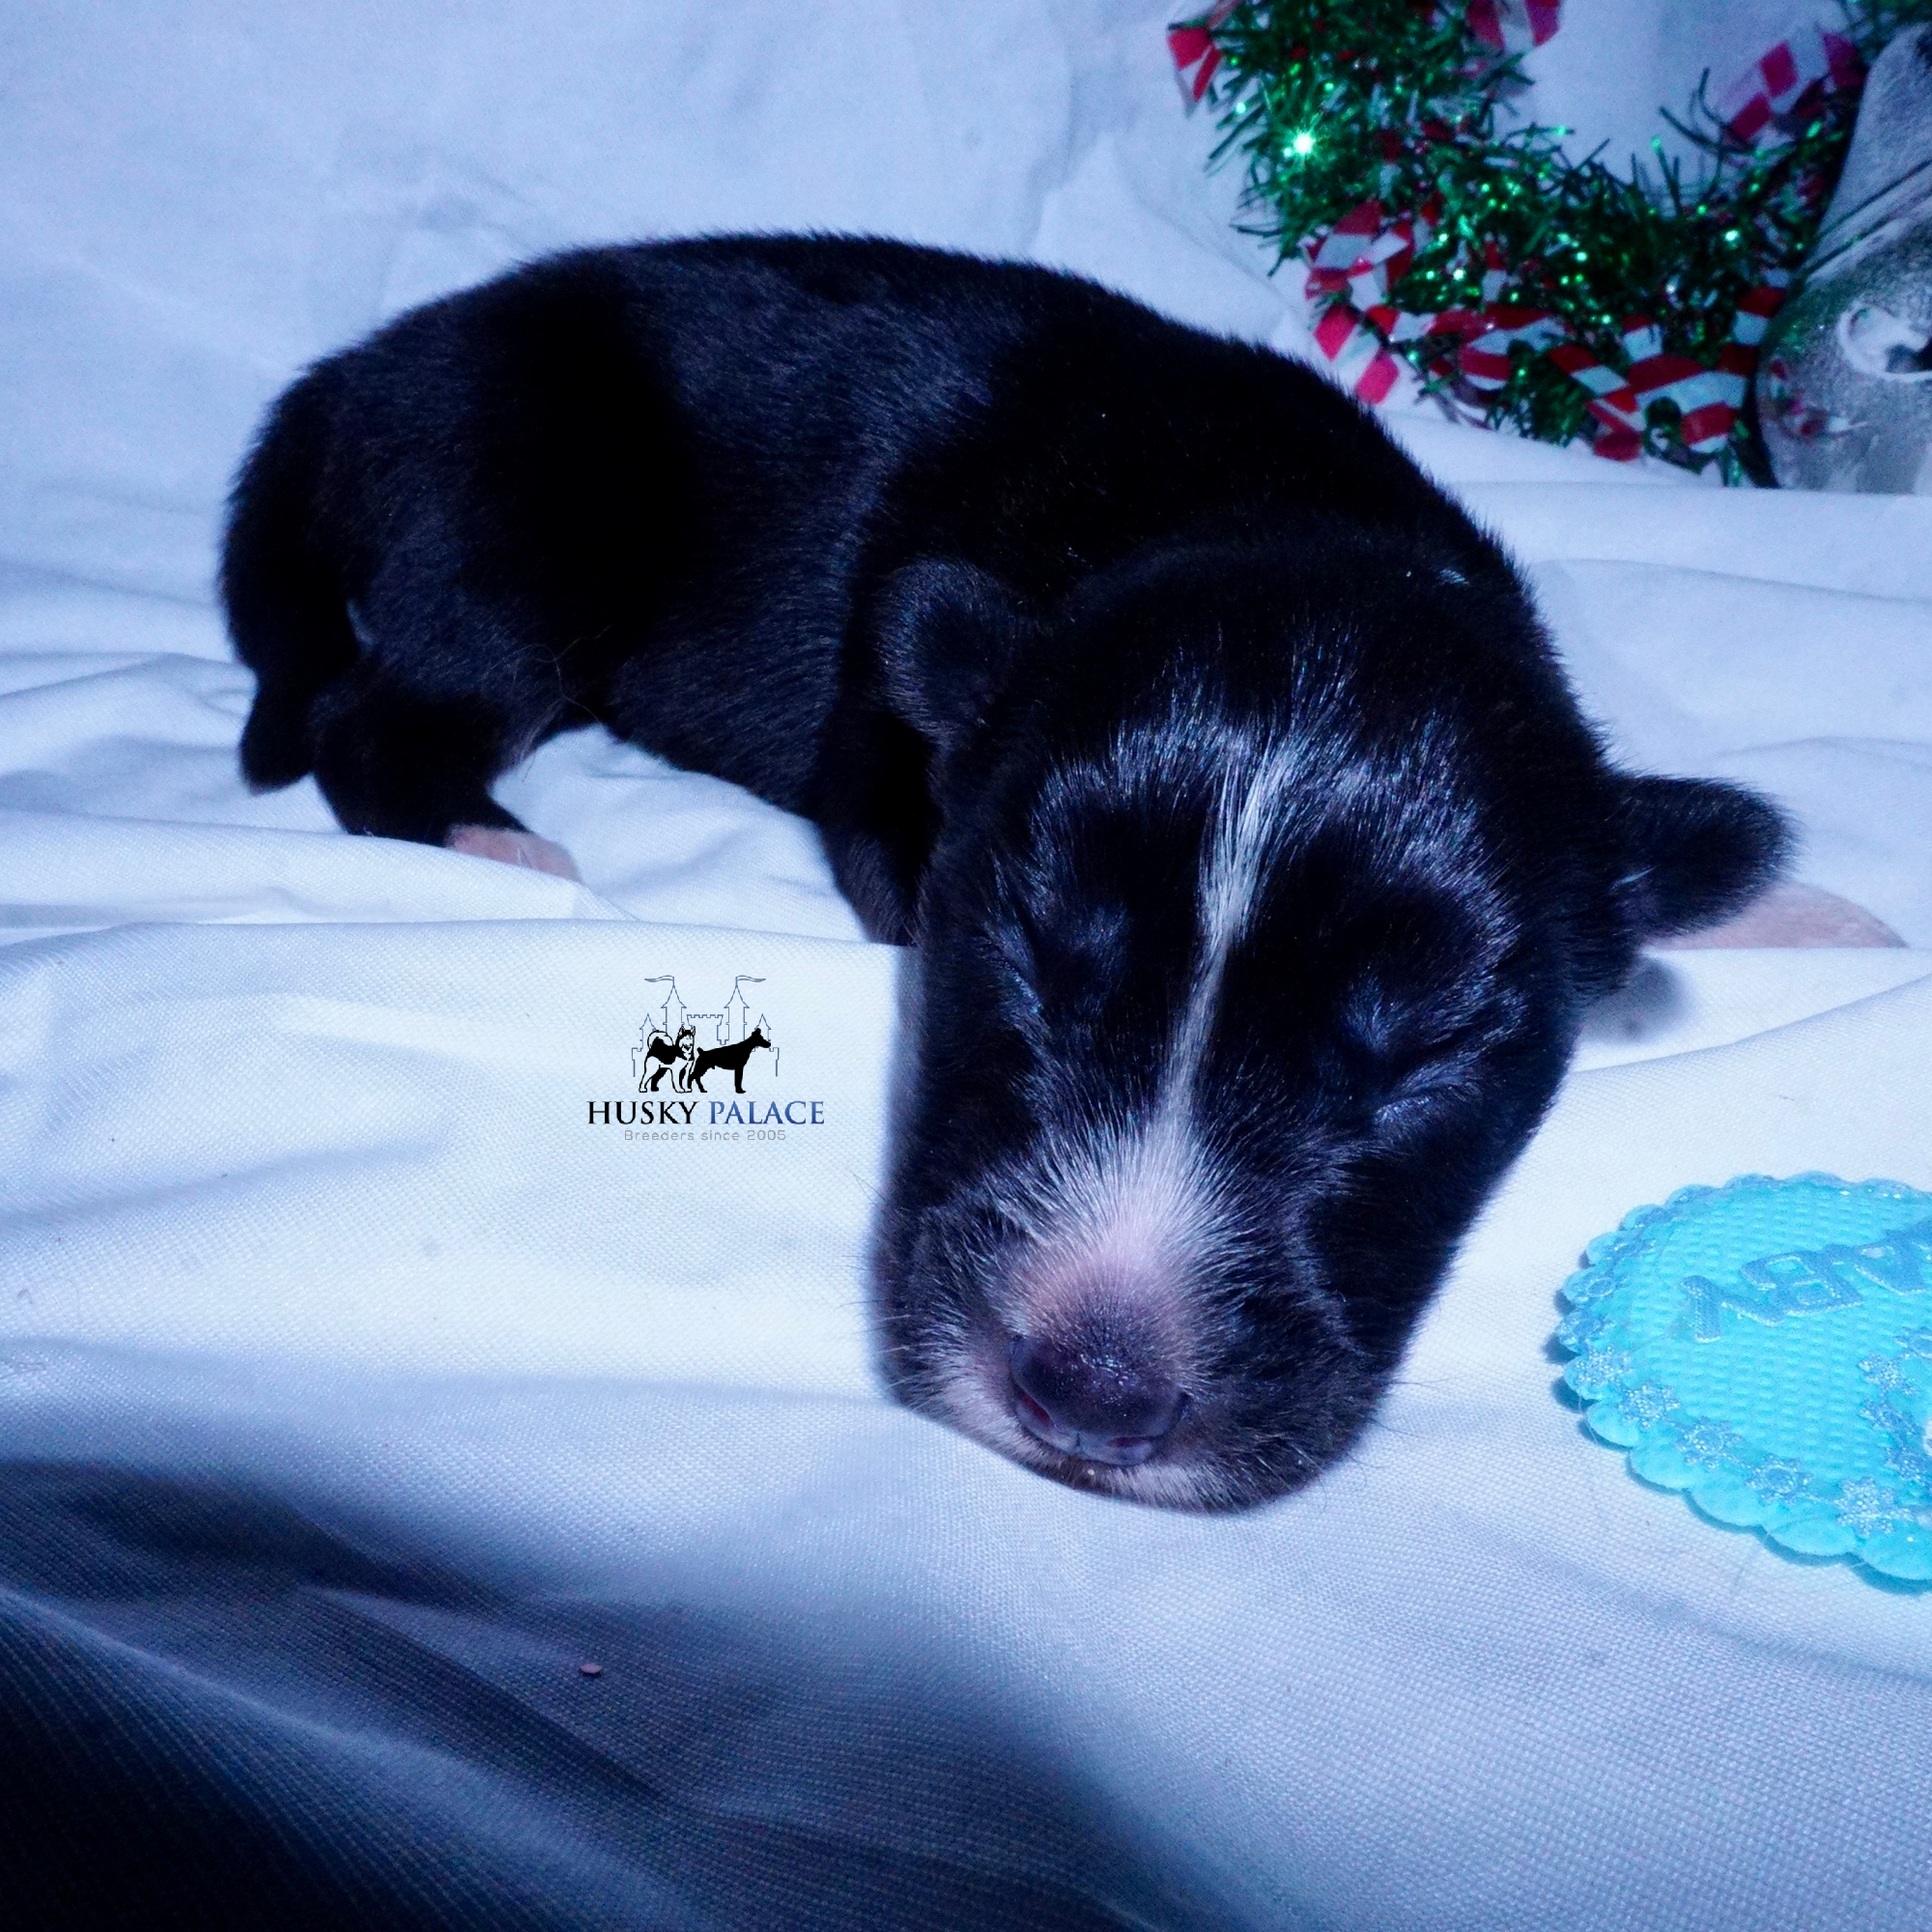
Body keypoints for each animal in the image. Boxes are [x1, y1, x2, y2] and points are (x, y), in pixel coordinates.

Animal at [223, 236, 1787, 1510]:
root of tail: (351, 374)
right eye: (1032, 952)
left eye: (1423, 1055)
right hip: (521, 505)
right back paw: (510, 846)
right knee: (372, 721)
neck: (1275, 513)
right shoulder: (883, 762)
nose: (1091, 1395)